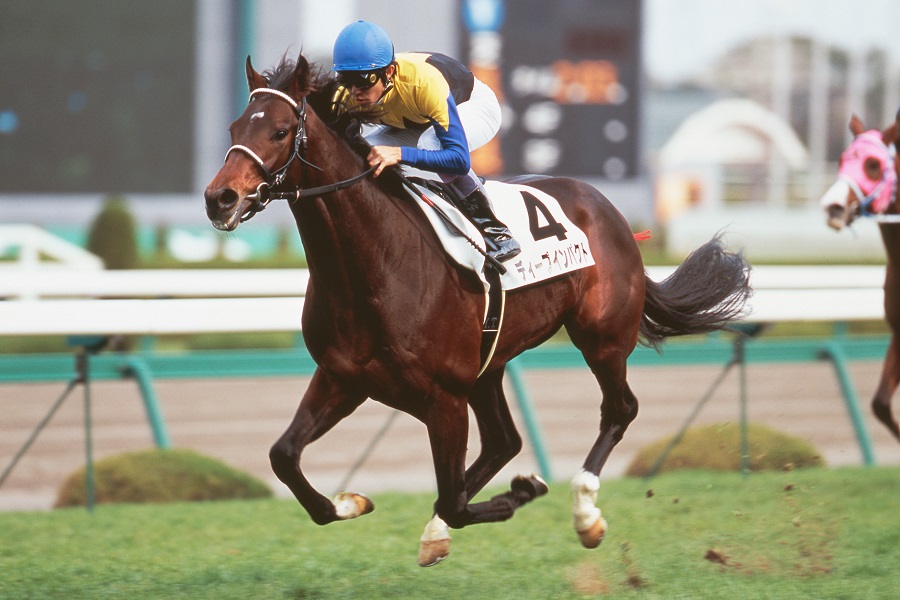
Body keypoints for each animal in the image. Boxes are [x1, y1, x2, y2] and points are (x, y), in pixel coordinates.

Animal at [204, 52, 752, 567]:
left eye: (279, 131)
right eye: (233, 128)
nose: (219, 198)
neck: (374, 265)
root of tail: (607, 209)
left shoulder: (443, 398)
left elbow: (454, 501)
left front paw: (521, 492)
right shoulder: (344, 378)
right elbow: (284, 456)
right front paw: (349, 502)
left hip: (601, 337)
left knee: (619, 409)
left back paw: (584, 513)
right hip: (490, 363)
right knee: (503, 441)